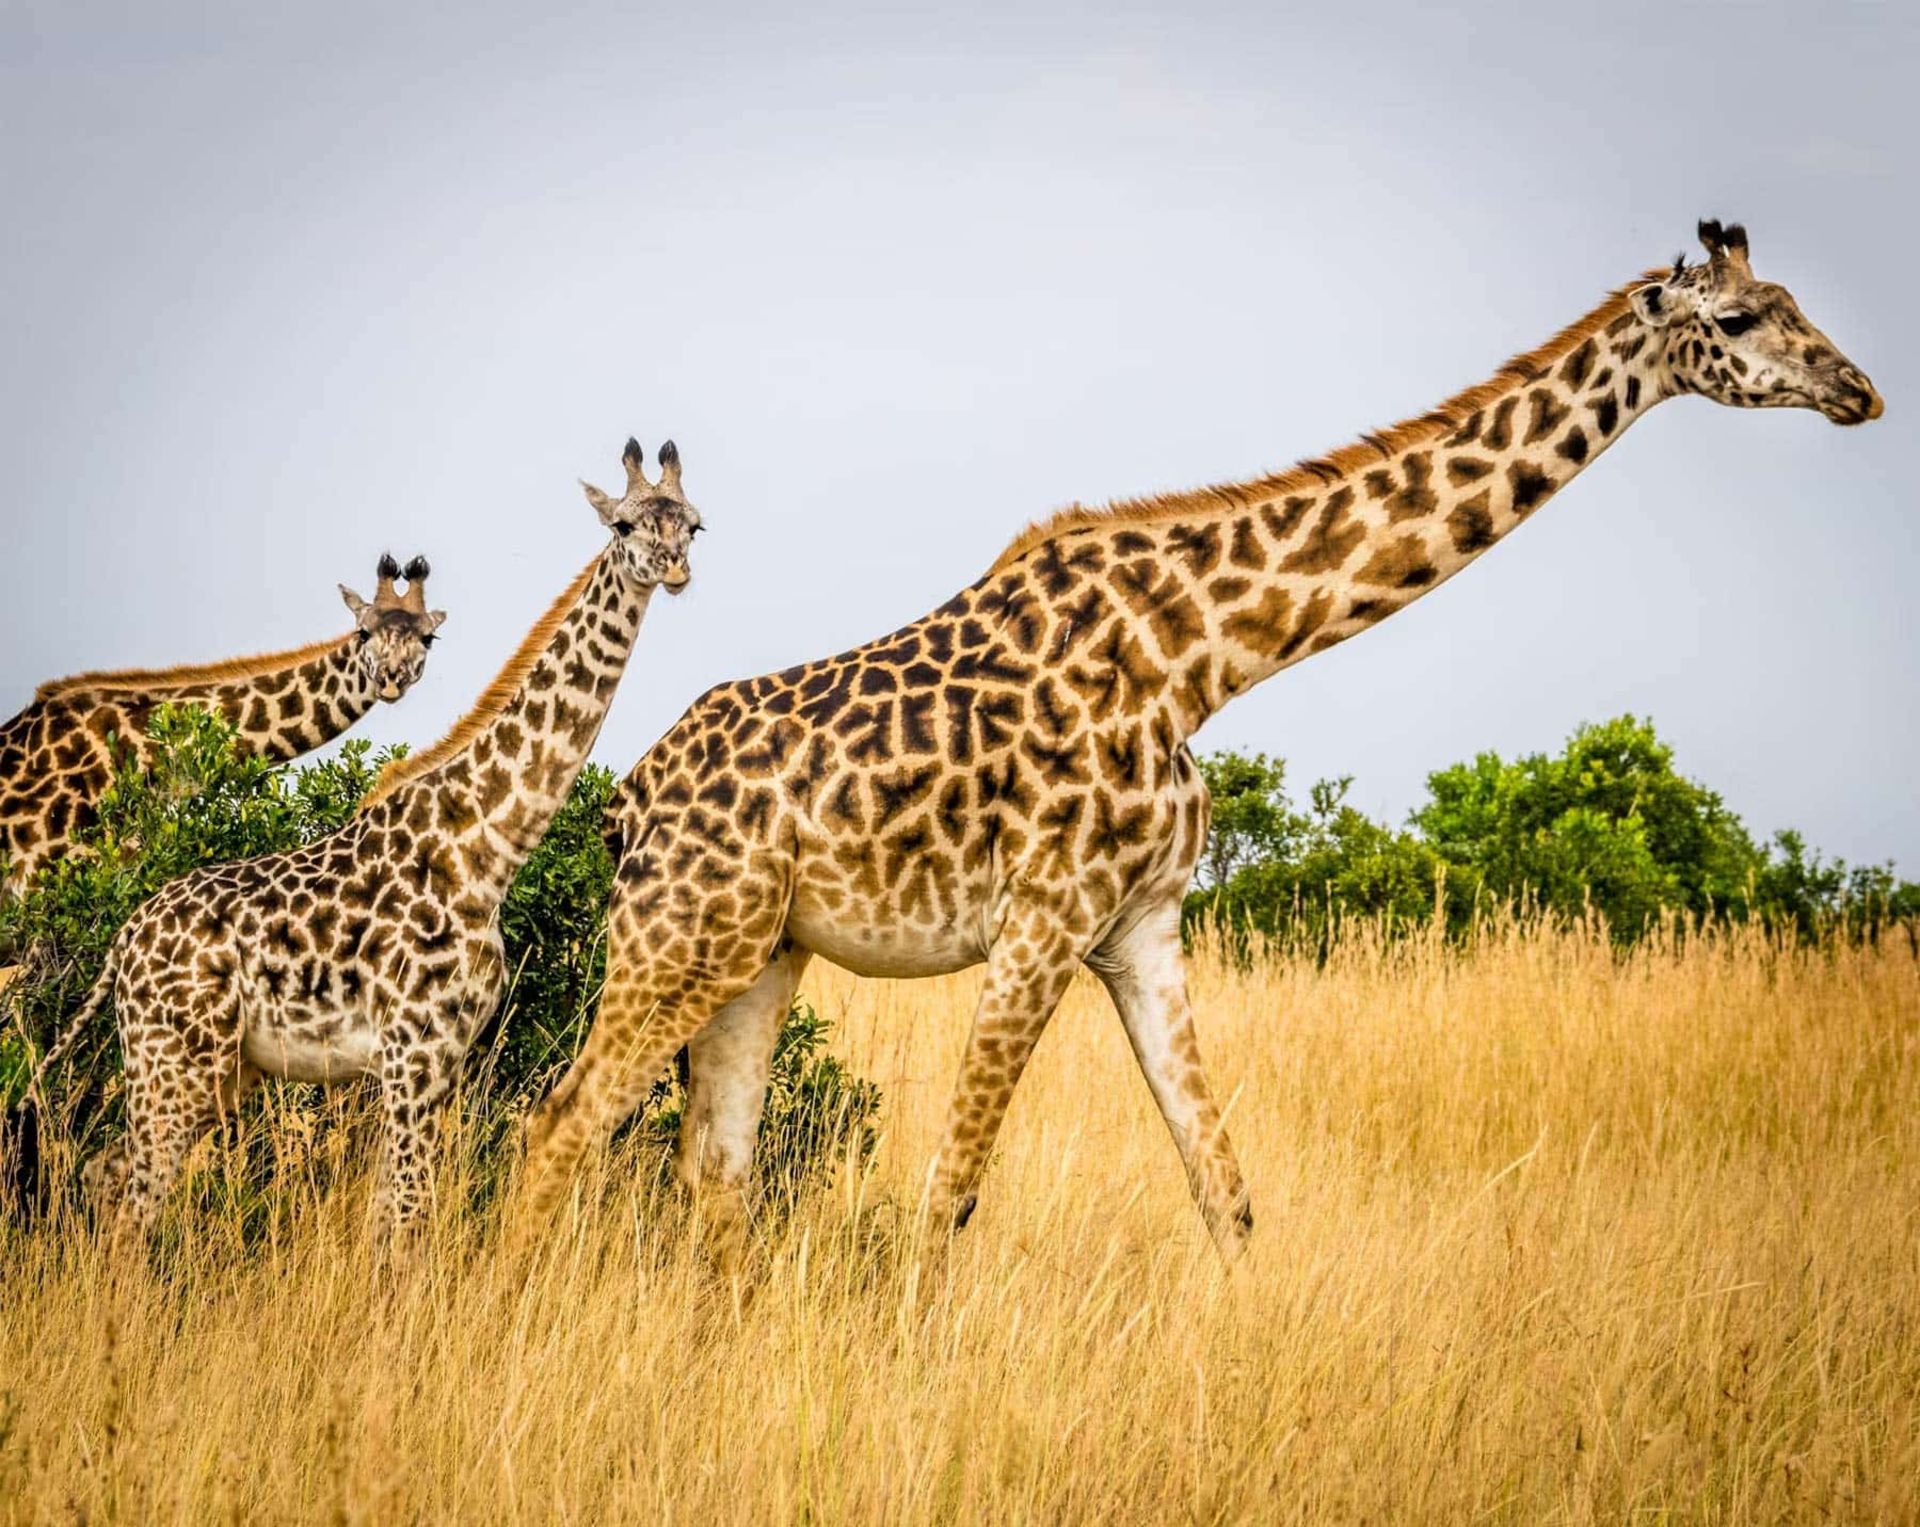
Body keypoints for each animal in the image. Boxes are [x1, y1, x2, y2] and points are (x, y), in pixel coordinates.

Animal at [518, 220, 1881, 1260]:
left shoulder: (1143, 930)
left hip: (761, 954)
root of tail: (626, 800)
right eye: (1744, 319)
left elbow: (1224, 1193)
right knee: (559, 1125)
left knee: (714, 1168)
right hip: (677, 940)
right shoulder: (1042, 923)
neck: (1205, 659)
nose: (1858, 391)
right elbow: (948, 1195)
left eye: (1795, 303)